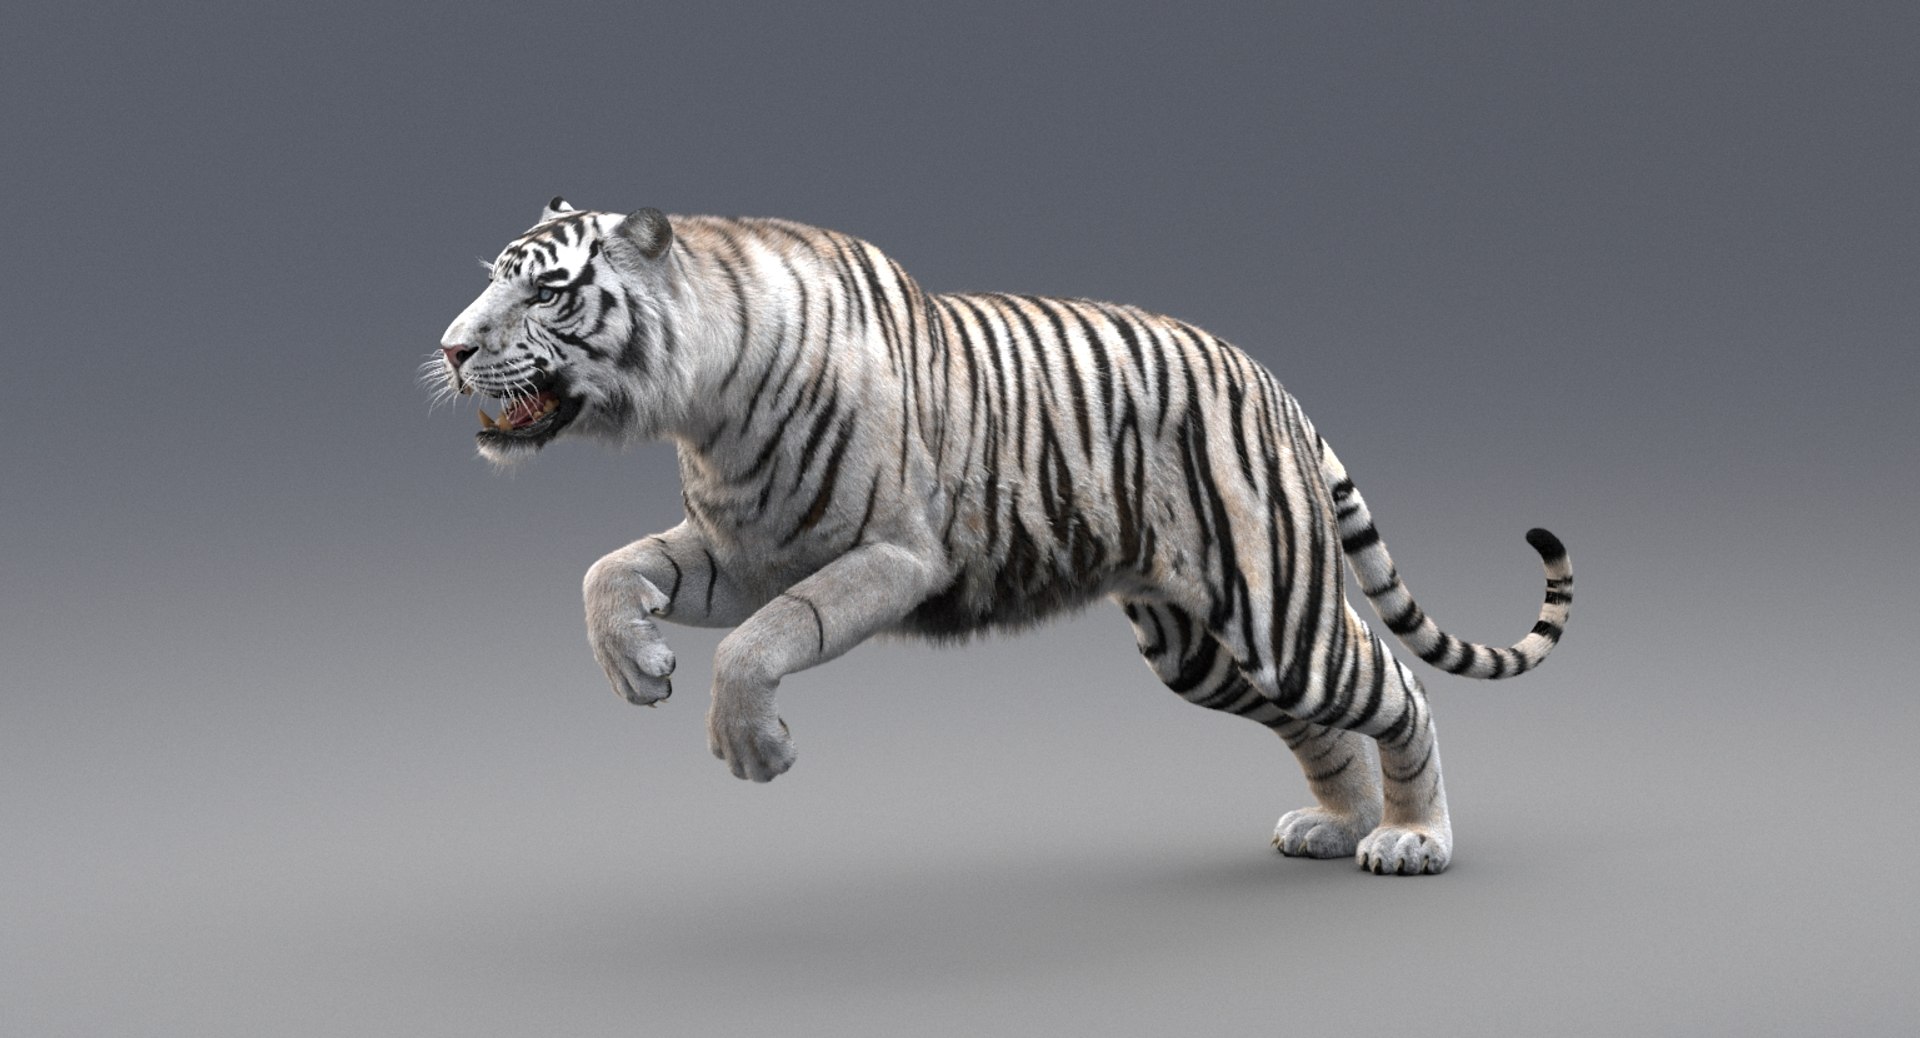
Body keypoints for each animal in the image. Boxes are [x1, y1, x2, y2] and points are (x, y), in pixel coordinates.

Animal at [430, 198, 1572, 875]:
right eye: (493, 276)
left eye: (548, 288)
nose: (448, 349)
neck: (704, 401)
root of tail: (1273, 384)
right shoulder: (745, 548)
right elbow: (607, 571)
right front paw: (640, 667)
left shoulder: (887, 555)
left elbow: (766, 642)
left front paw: (753, 747)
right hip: (1197, 645)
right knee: (1321, 722)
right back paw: (1333, 825)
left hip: (1274, 609)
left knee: (1395, 685)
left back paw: (1410, 838)